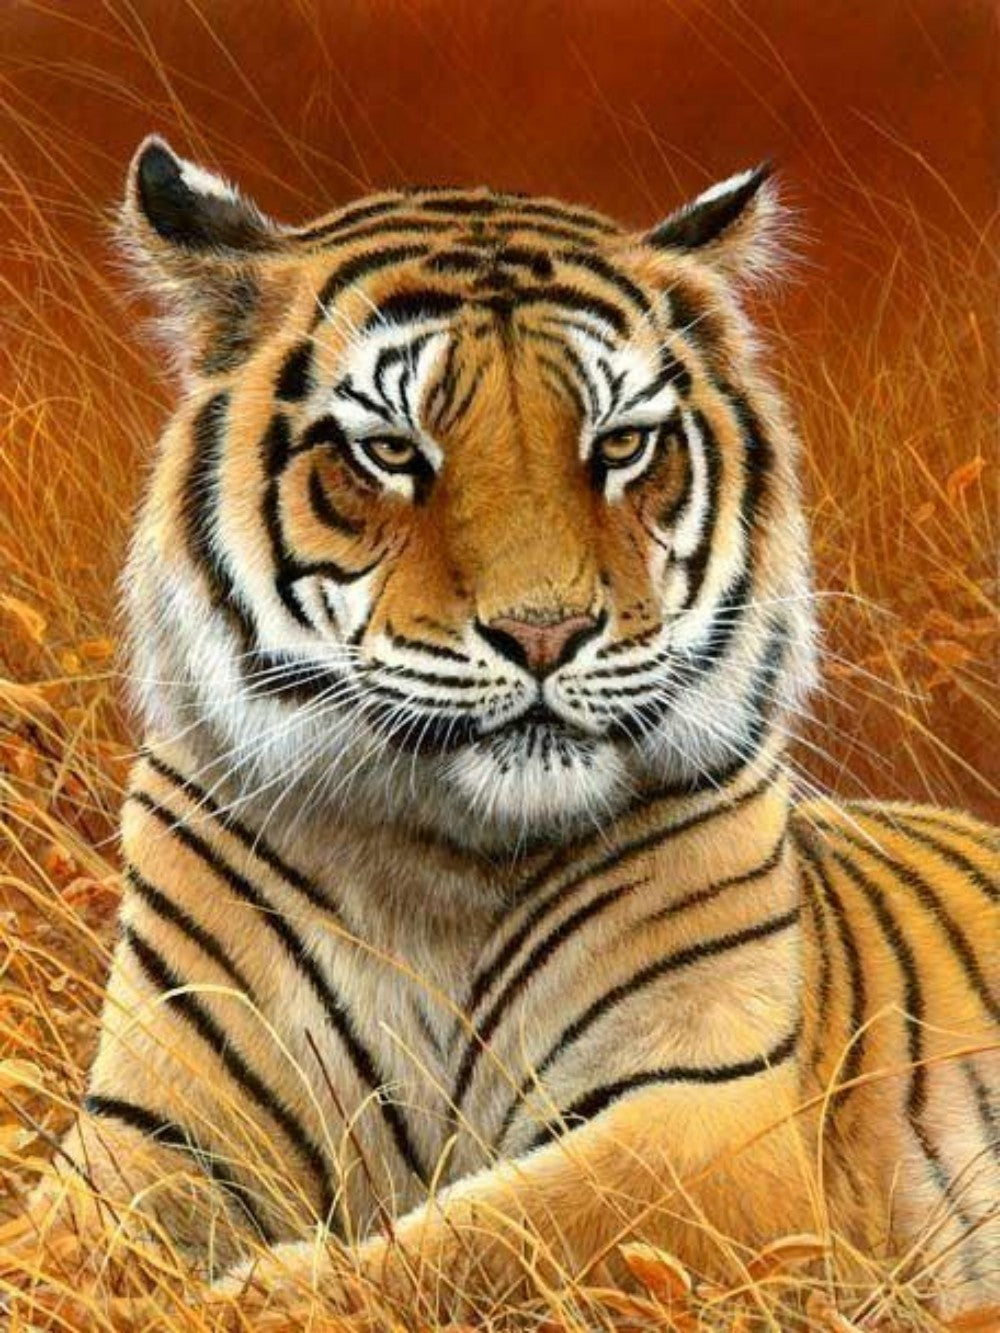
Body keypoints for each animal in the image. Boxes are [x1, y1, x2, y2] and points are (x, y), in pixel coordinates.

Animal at [25, 135, 998, 1323]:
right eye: (393, 451)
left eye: (620, 446)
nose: (547, 632)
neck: (435, 872)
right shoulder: (152, 1128)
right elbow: (57, 1251)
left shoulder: (708, 1119)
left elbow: (473, 1241)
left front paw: (252, 1296)